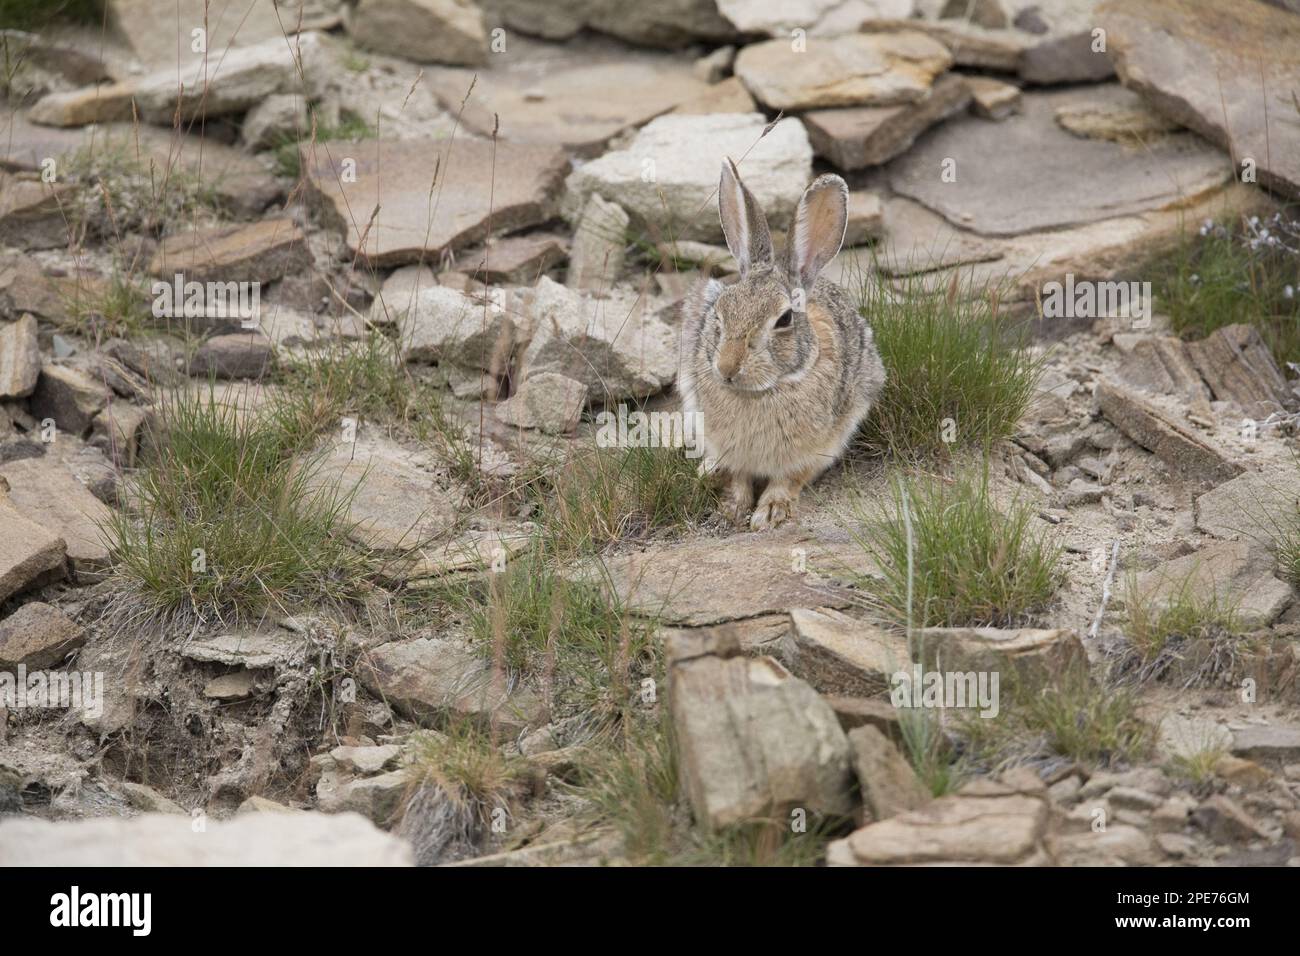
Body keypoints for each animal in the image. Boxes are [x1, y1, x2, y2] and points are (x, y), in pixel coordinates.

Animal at [681, 157, 883, 530]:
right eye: (720, 311)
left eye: (785, 319)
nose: (726, 368)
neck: (762, 391)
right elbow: (737, 477)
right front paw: (731, 509)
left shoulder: (815, 448)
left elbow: (788, 479)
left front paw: (770, 513)